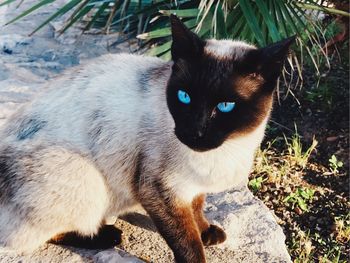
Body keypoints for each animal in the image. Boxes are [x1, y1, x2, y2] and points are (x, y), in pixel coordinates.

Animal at [0, 15, 296, 262]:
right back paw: (106, 236)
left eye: (225, 106)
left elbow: (198, 208)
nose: (194, 132)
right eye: (184, 96)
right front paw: (199, 242)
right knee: (32, 238)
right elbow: (187, 242)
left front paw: (205, 232)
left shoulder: (191, 189)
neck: (228, 150)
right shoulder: (160, 191)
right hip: (87, 180)